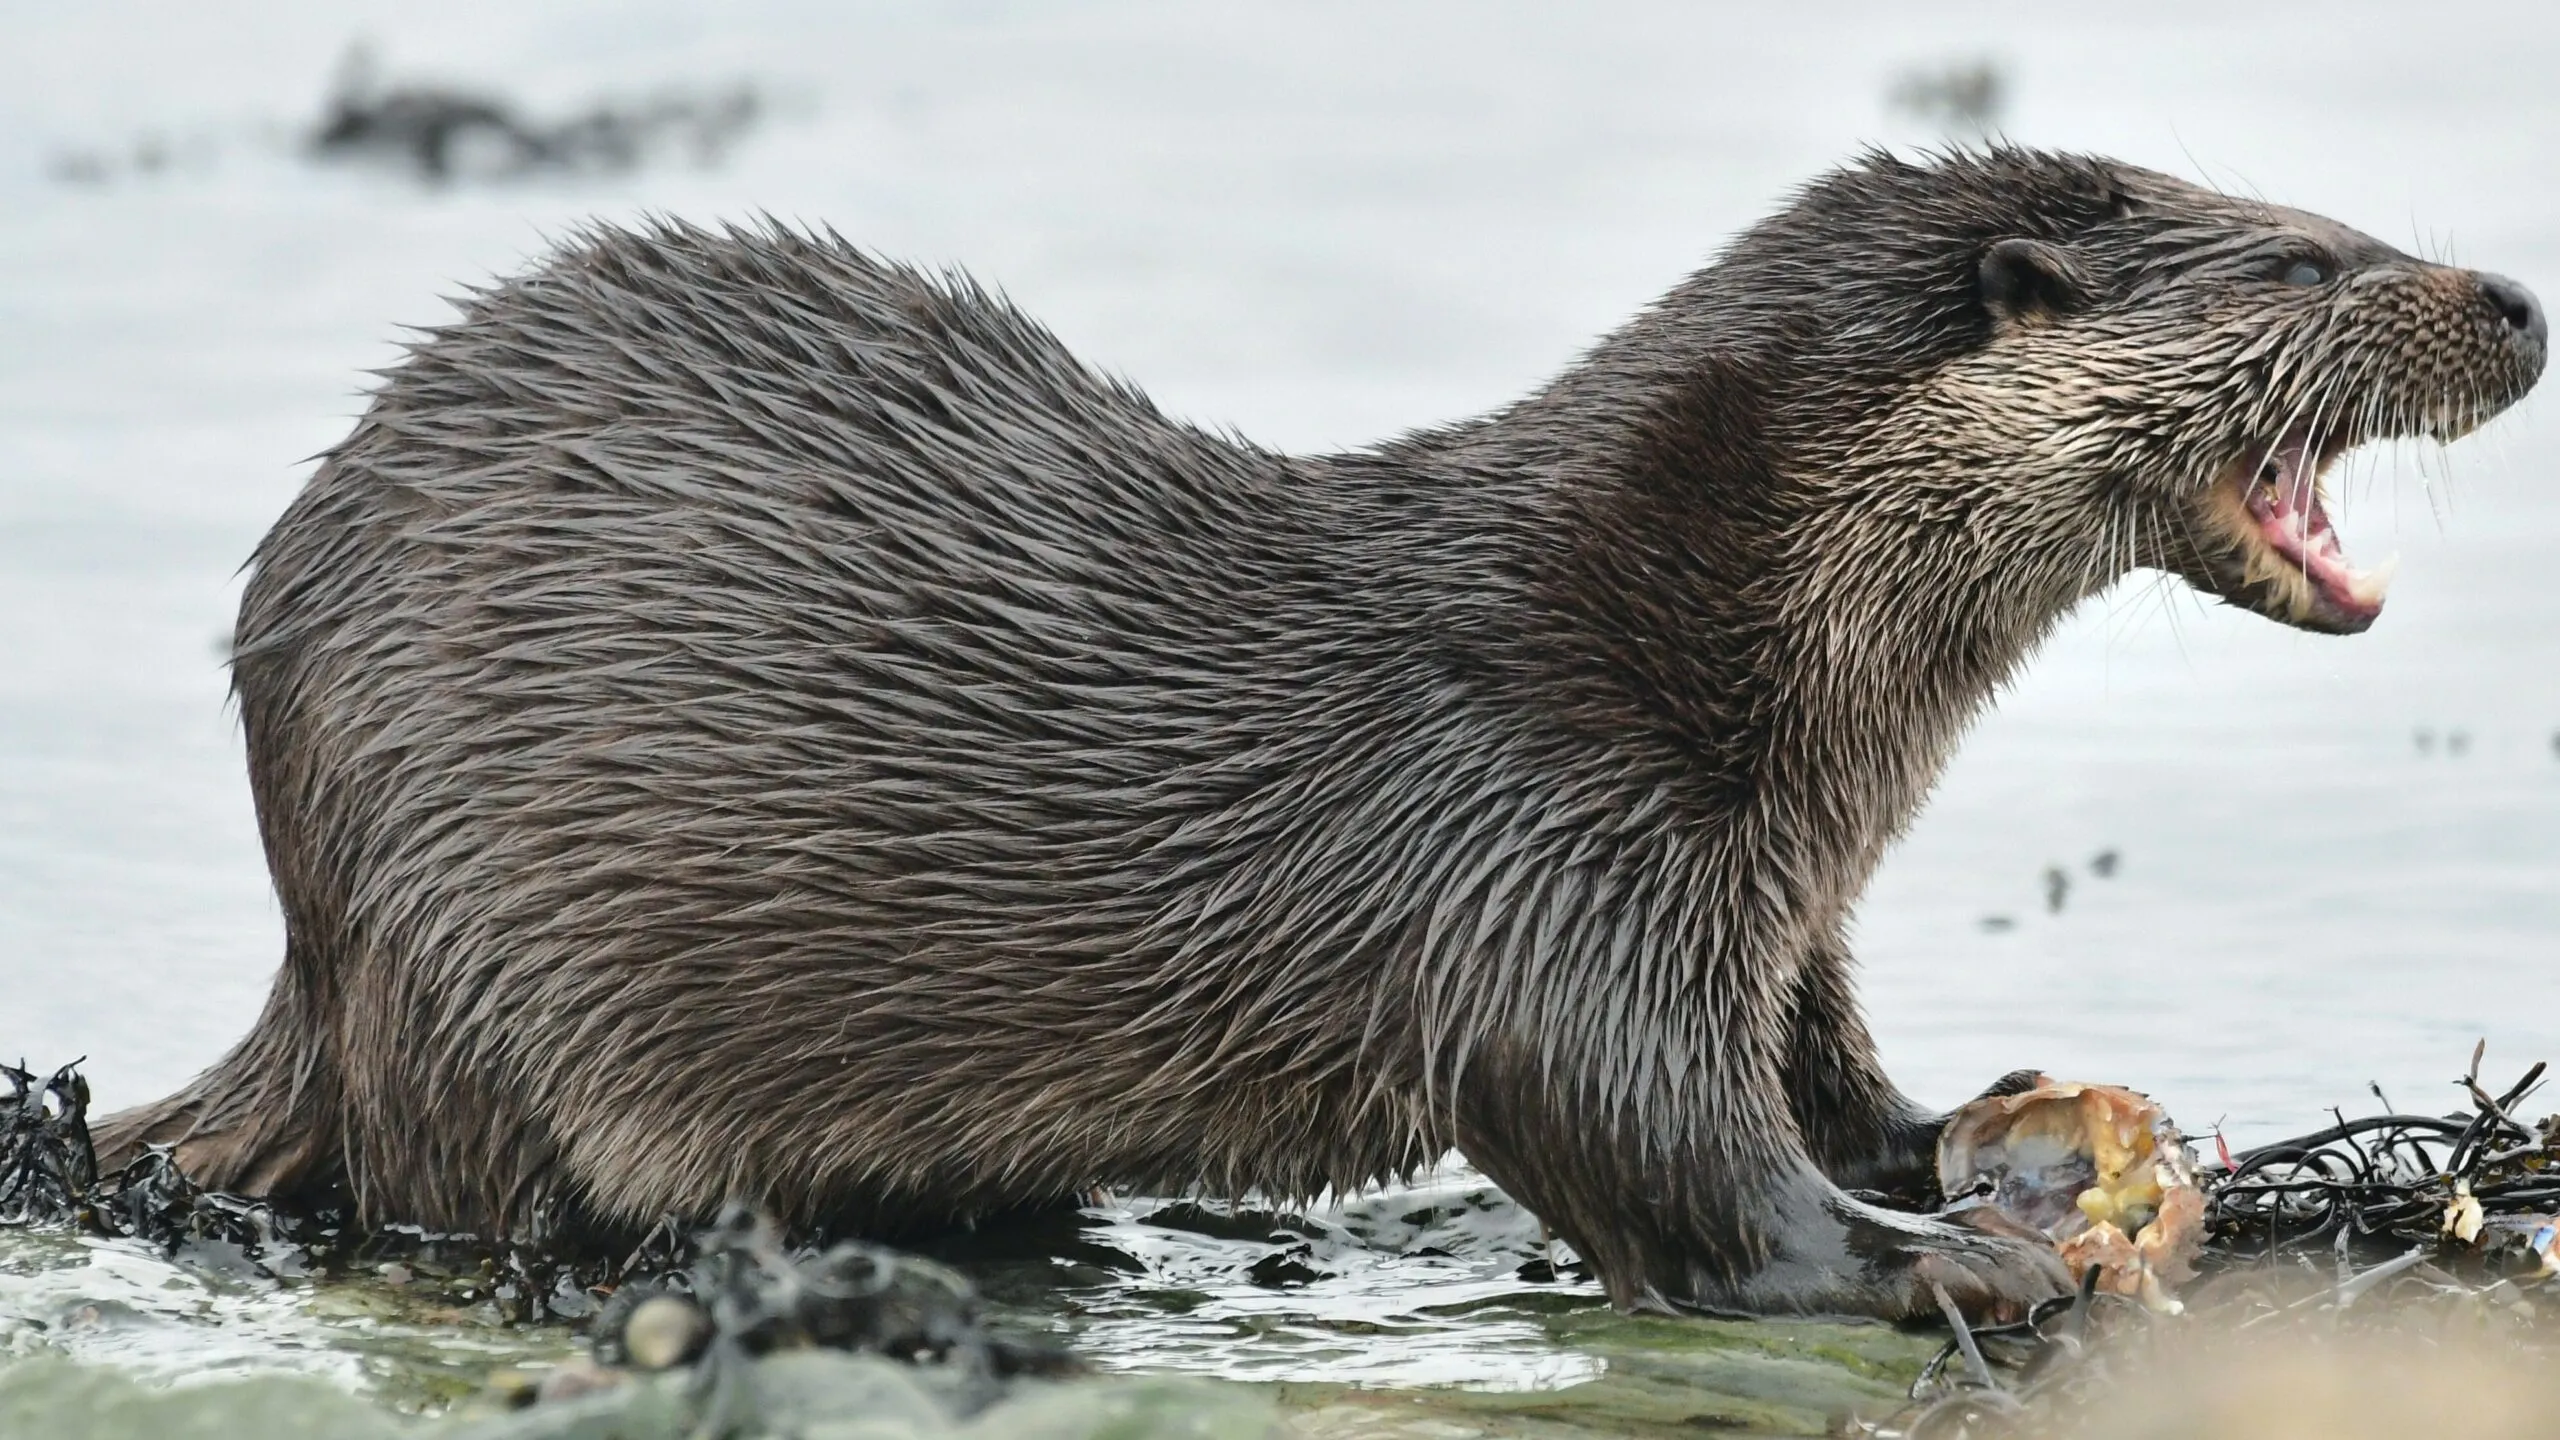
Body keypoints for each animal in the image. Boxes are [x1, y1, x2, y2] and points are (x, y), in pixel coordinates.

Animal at [97, 148, 2544, 1321]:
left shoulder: (1766, 901)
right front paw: (1968, 1265)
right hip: (465, 974)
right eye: (2308, 266)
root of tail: (312, 927)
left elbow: (1826, 1071)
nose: (2514, 295)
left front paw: (1981, 1146)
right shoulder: (1550, 866)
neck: (1695, 651)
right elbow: (1677, 1174)